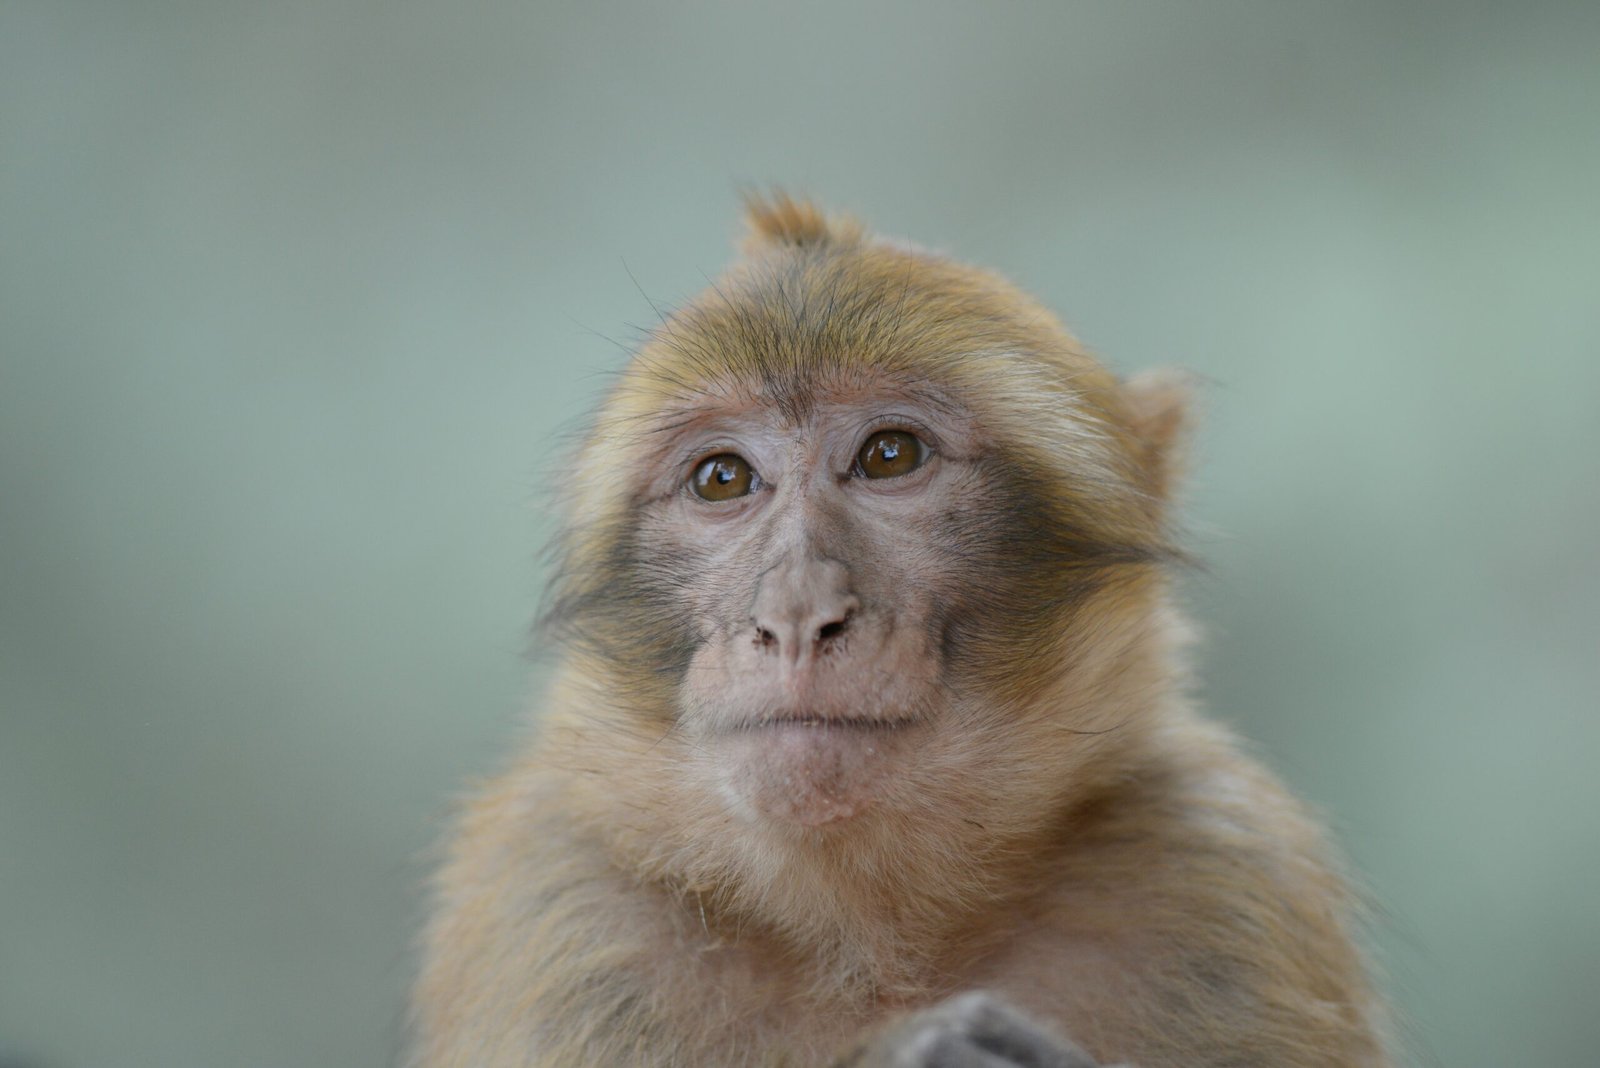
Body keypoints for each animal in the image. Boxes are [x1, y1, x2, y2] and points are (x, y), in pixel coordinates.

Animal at [406, 194, 1395, 1068]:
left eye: (890, 456)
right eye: (723, 478)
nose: (795, 614)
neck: (871, 935)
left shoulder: (1223, 874)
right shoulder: (557, 909)